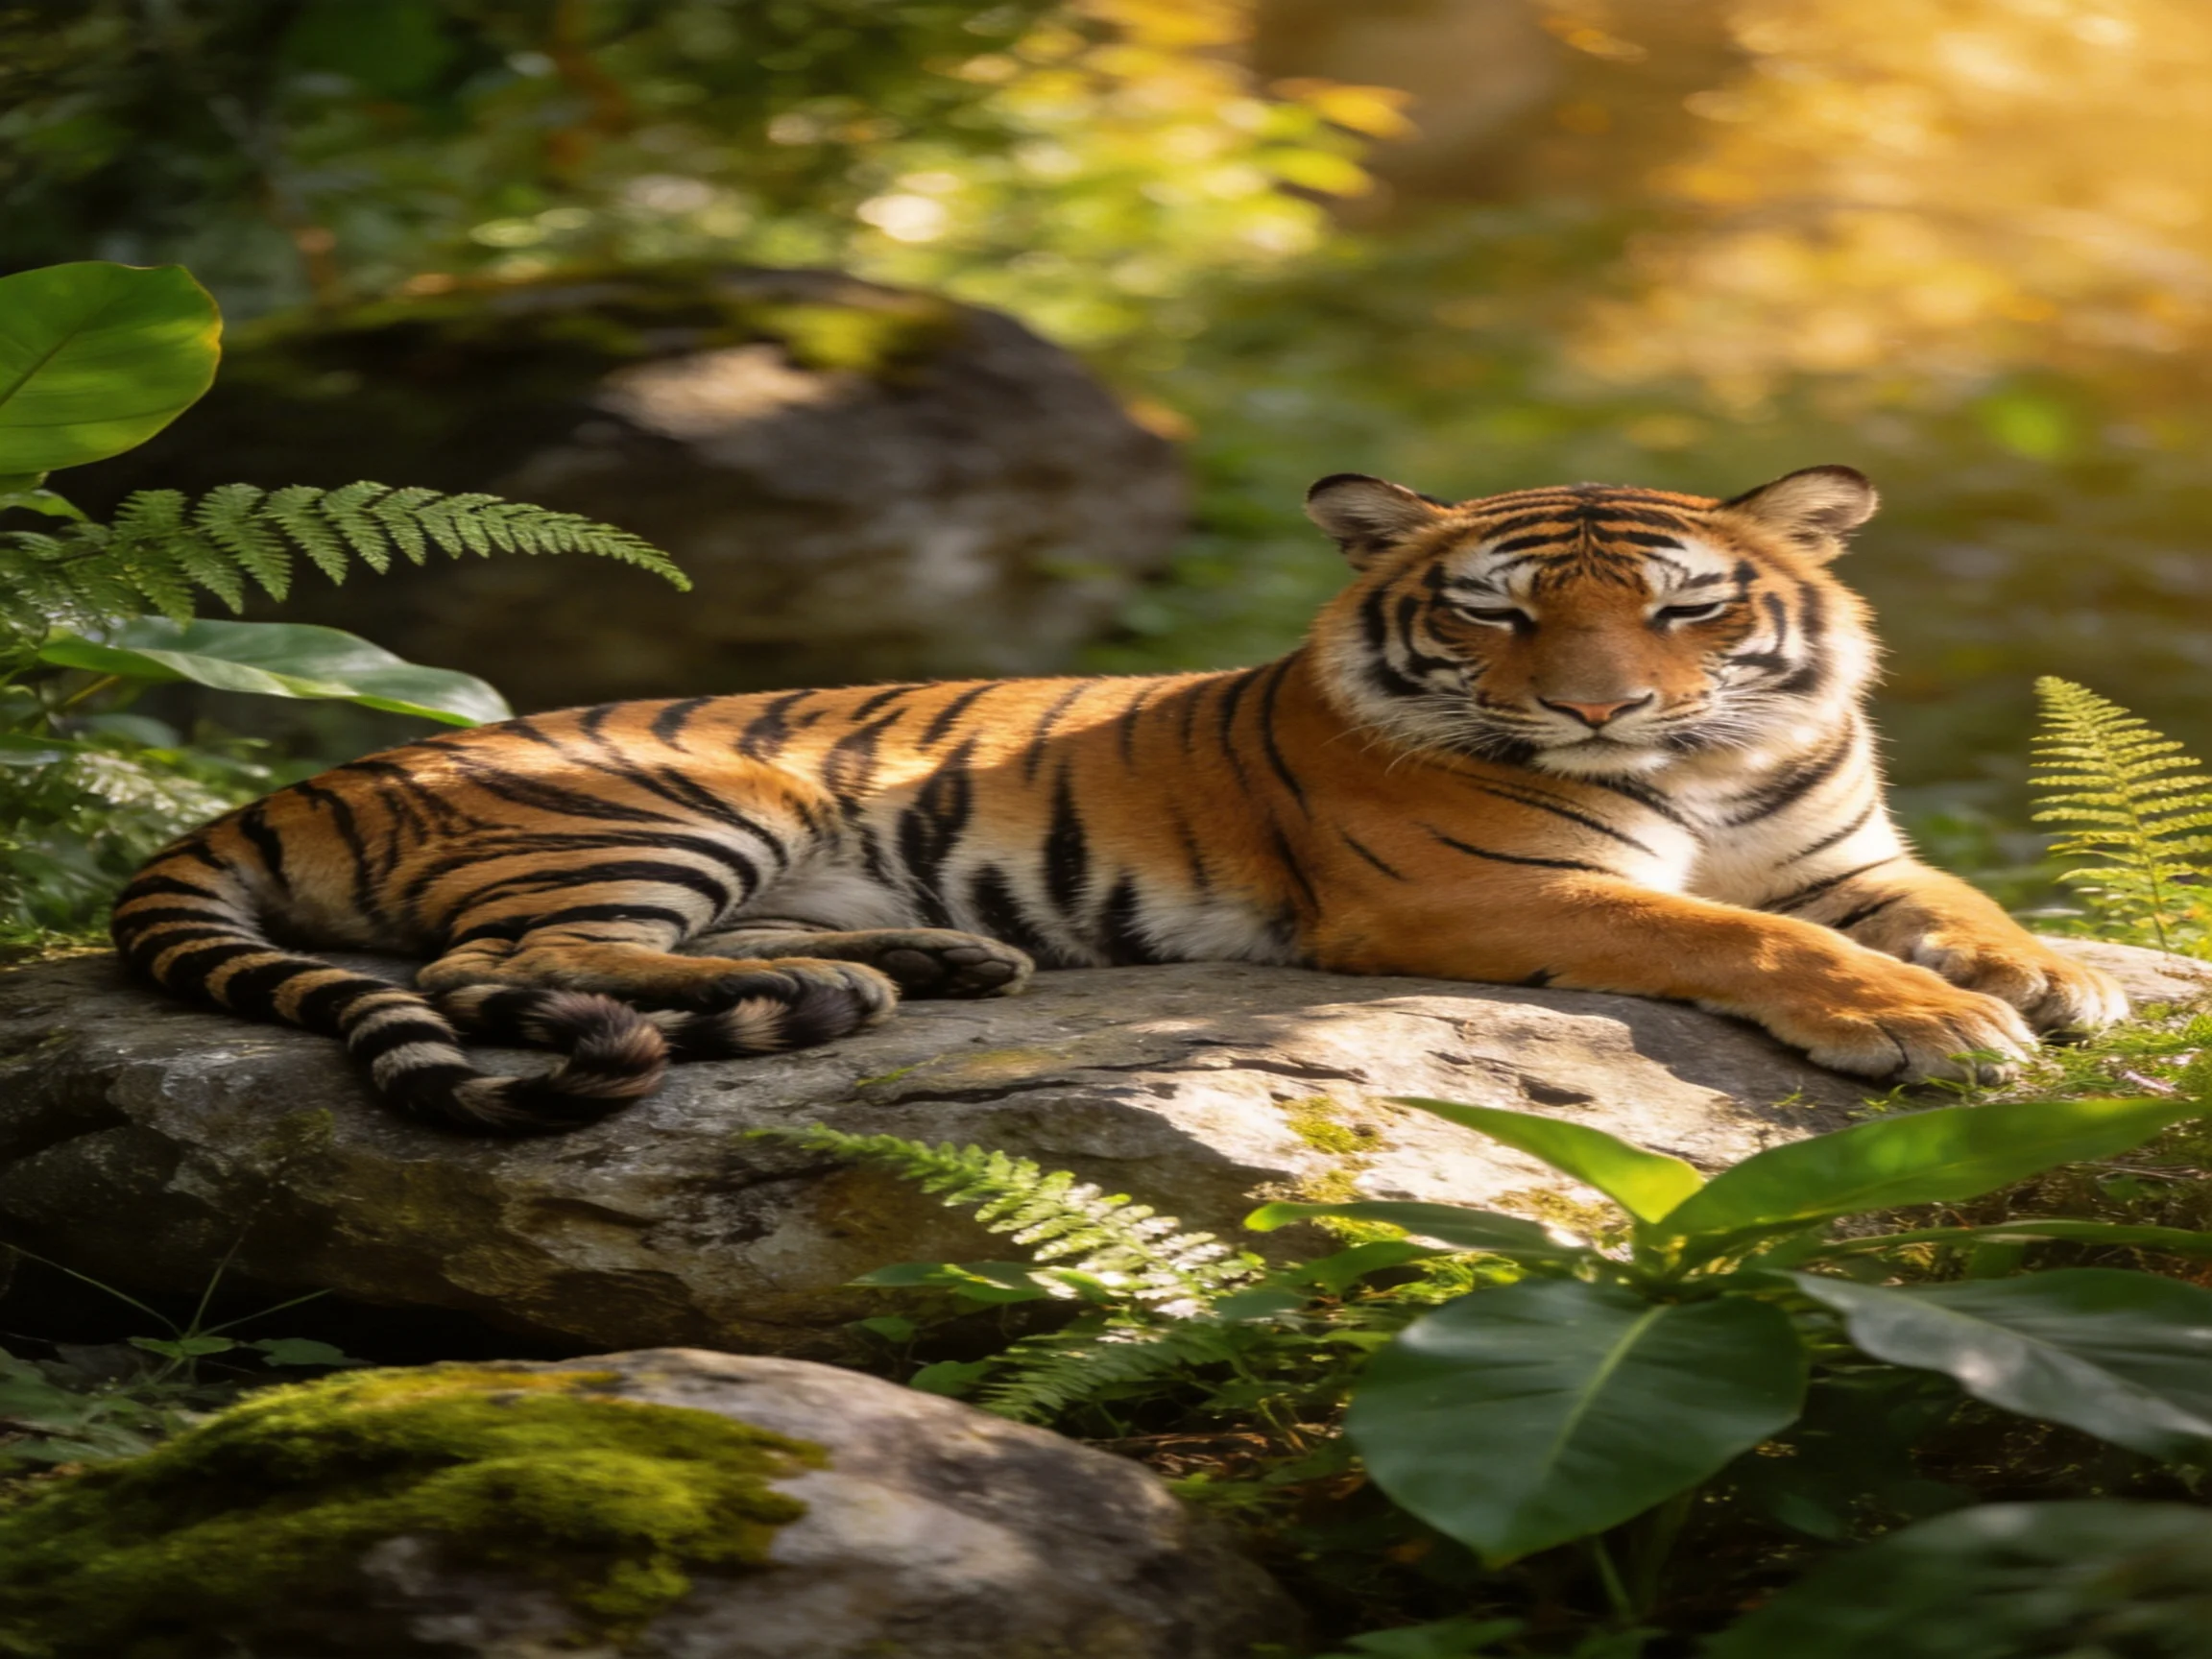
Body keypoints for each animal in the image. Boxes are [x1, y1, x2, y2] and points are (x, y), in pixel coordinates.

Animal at [111, 464, 2128, 1135]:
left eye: (1686, 608)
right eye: (1493, 612)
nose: (1599, 702)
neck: (1697, 764)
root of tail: (321, 760)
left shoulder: (1846, 846)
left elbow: (1954, 905)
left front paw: (2055, 974)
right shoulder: (1463, 890)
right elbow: (1716, 929)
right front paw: (1926, 1028)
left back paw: (920, 966)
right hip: (684, 794)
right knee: (497, 968)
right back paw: (844, 985)